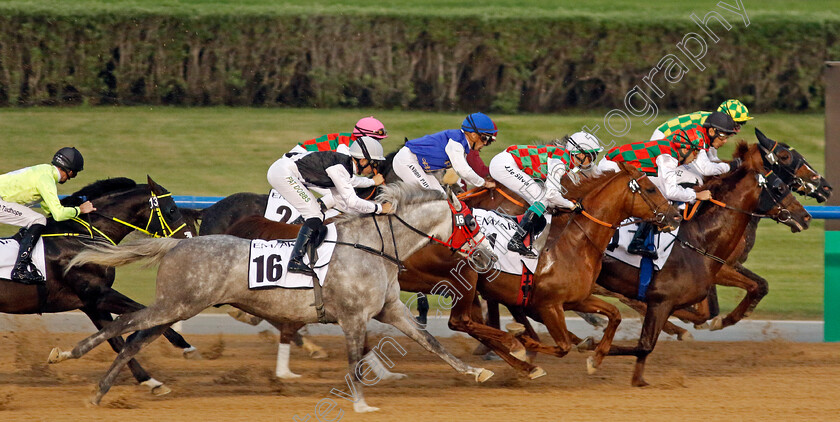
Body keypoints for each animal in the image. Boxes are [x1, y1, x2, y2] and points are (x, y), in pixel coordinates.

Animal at [2, 176, 195, 396]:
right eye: (172, 209)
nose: (188, 239)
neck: (82, 238)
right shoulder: (99, 294)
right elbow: (145, 313)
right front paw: (183, 344)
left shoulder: (91, 304)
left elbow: (116, 341)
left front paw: (150, 381)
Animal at [49, 184, 496, 412]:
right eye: (470, 220)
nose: (489, 257)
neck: (374, 246)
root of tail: (176, 244)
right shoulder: (353, 317)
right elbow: (354, 361)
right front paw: (360, 404)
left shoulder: (389, 310)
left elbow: (431, 341)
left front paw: (476, 372)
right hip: (177, 304)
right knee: (124, 325)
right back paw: (67, 355)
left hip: (175, 307)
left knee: (134, 340)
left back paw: (103, 390)